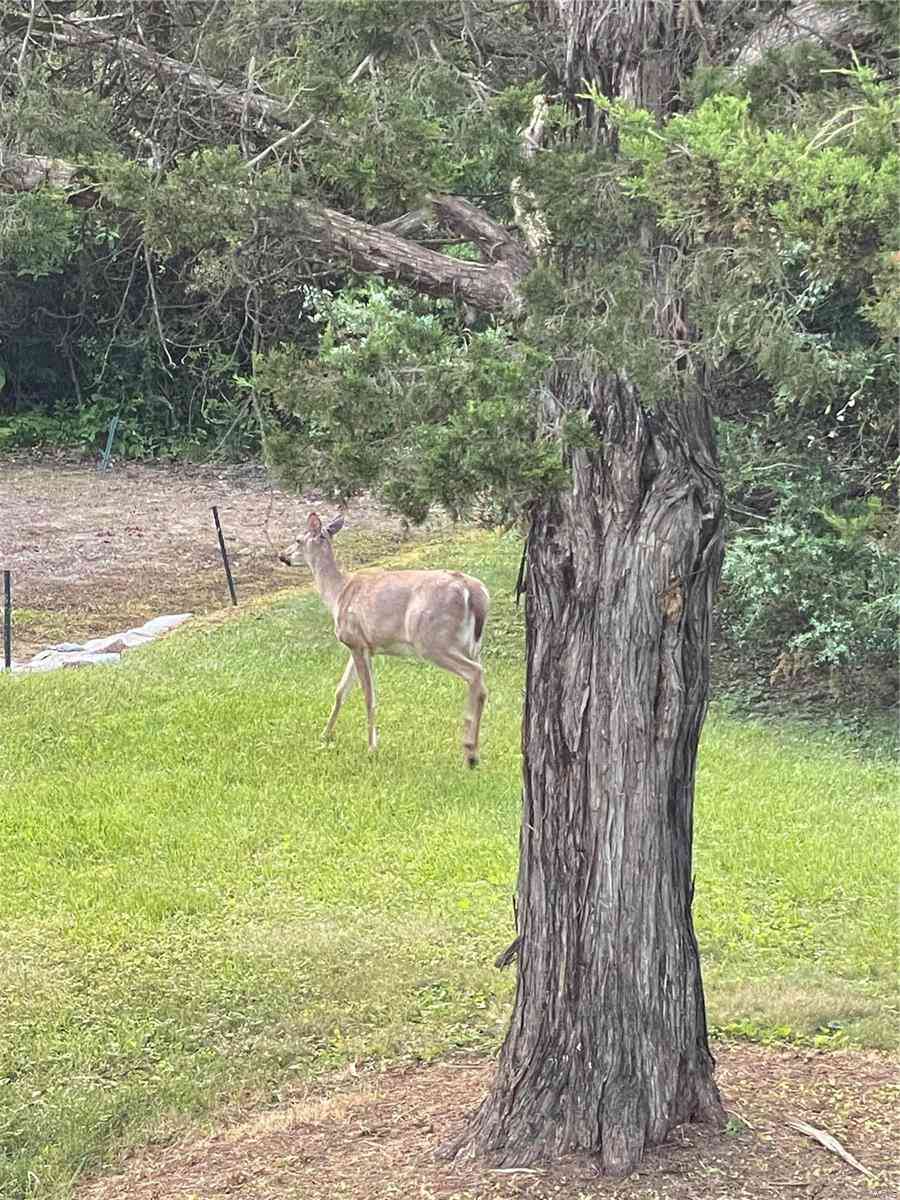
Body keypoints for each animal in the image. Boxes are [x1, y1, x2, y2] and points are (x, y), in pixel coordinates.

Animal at [282, 511, 494, 763]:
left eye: (297, 539)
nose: (281, 555)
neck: (337, 594)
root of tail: (474, 591)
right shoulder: (362, 644)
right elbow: (340, 691)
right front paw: (325, 735)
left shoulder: (355, 641)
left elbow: (368, 697)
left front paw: (371, 747)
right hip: (472, 645)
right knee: (481, 683)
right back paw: (474, 750)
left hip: (432, 640)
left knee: (475, 673)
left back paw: (470, 750)